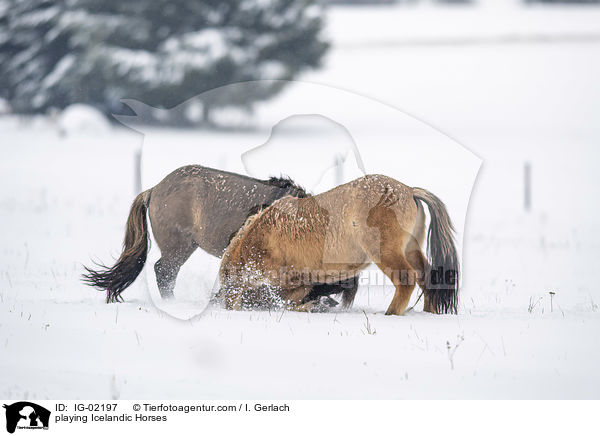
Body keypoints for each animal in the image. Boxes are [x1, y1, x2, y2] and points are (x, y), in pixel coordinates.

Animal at [220, 173, 460, 314]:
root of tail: (409, 191)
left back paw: (390, 314)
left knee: (406, 279)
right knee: (427, 277)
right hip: (410, 248)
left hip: (386, 253)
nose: (226, 305)